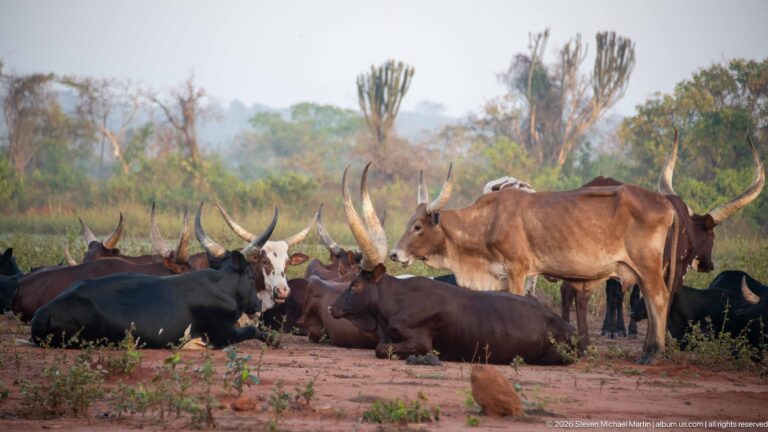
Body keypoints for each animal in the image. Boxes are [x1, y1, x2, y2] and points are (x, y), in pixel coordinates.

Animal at [329, 163, 576, 365]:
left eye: (356, 284)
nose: (332, 308)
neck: (394, 299)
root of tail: (567, 327)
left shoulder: (419, 342)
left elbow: (381, 349)